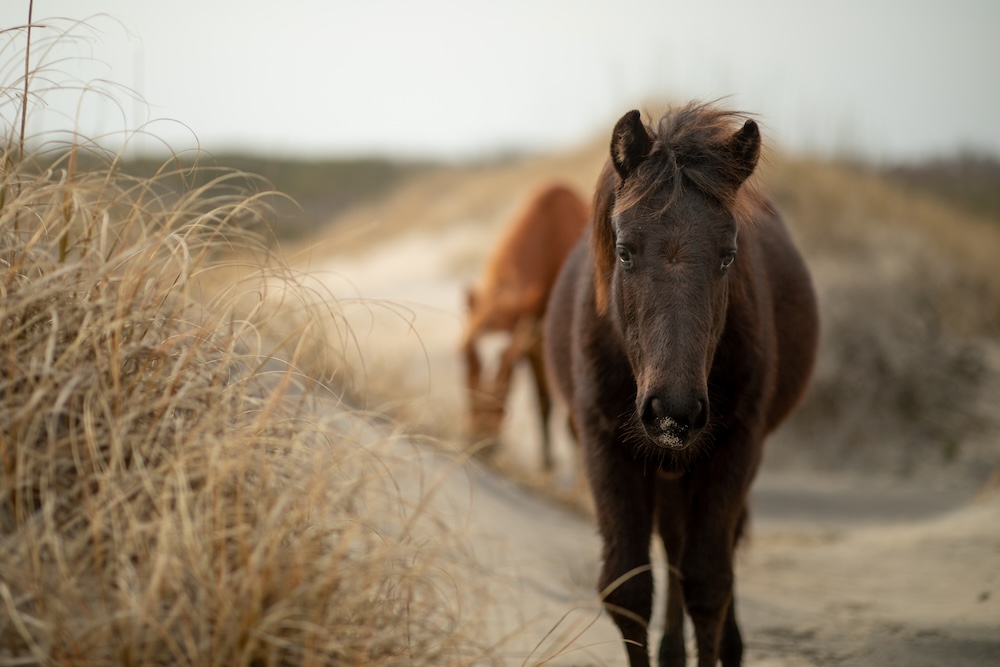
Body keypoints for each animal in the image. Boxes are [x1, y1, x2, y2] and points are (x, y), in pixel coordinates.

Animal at [462, 182, 588, 469]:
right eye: (465, 356)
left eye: (509, 365)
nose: (482, 440)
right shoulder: (533, 342)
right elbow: (544, 403)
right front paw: (547, 463)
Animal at [543, 103, 818, 666]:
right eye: (624, 250)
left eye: (728, 254)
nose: (673, 412)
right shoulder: (604, 446)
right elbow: (628, 588)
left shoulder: (733, 448)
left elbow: (708, 583)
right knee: (671, 544)